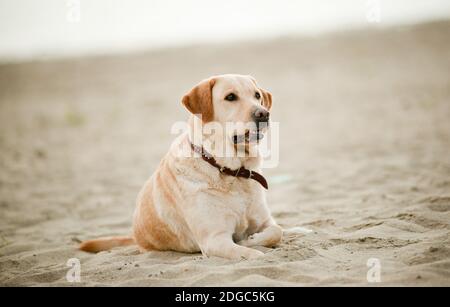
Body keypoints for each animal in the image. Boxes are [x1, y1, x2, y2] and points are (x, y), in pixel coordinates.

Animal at [81, 74, 282, 260]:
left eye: (257, 95)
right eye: (231, 97)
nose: (264, 114)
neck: (231, 171)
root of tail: (135, 236)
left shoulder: (265, 221)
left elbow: (277, 231)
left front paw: (251, 239)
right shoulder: (214, 239)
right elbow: (255, 255)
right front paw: (250, 246)